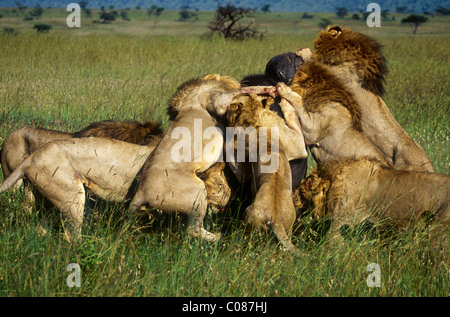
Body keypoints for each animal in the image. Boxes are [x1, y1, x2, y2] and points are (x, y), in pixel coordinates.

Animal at [128, 74, 243, 242]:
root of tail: (140, 192)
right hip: (198, 193)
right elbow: (240, 93)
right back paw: (218, 237)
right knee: (193, 230)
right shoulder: (215, 101)